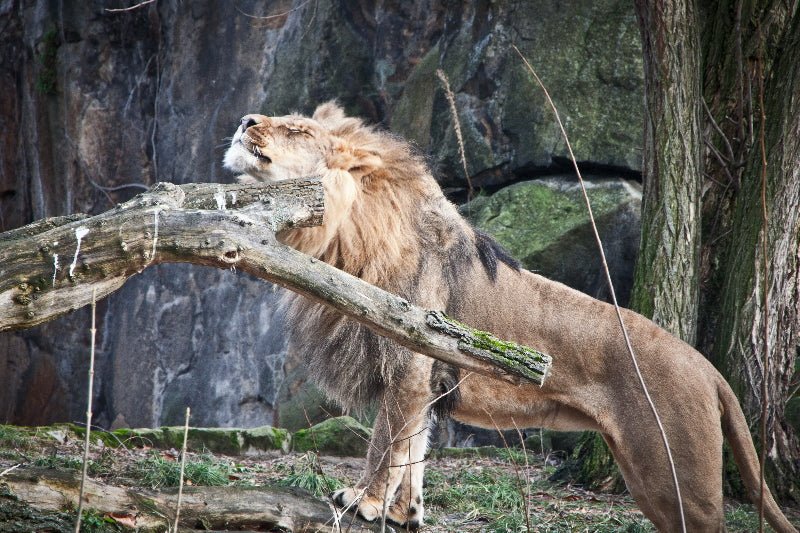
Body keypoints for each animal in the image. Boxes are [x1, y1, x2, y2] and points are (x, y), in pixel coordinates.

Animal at [224, 102, 798, 532]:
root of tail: (710, 370)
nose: (244, 119)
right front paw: (406, 512)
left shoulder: (408, 363)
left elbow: (386, 444)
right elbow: (415, 449)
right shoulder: (426, 377)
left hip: (677, 479)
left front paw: (362, 500)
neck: (346, 237)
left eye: (296, 129)